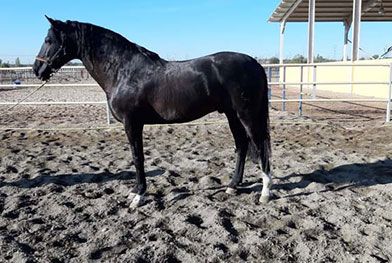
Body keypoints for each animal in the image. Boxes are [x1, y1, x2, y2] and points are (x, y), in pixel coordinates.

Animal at [33, 17, 272, 208]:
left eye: (48, 40)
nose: (37, 70)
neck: (123, 71)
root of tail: (255, 63)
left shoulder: (132, 123)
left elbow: (137, 157)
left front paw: (138, 196)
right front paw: (135, 192)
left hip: (247, 116)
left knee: (260, 147)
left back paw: (265, 193)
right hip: (232, 115)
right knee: (242, 146)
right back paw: (232, 186)